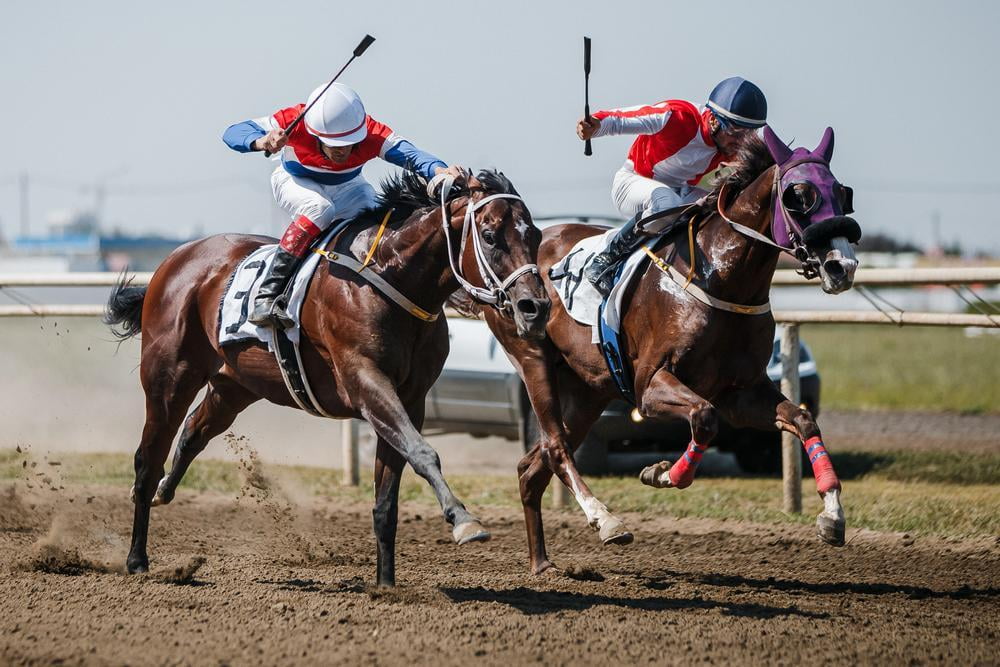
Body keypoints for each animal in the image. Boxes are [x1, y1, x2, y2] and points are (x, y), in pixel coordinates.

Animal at [104, 171, 552, 584]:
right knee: (147, 458)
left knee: (194, 431)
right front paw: (463, 520)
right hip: (169, 379)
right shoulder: (366, 382)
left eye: (535, 235)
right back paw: (137, 557)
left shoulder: (411, 399)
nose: (535, 307)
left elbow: (388, 495)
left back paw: (165, 490)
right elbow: (424, 453)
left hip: (235, 385)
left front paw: (386, 584)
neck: (390, 279)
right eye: (490, 236)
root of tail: (173, 261)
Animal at [460, 126, 860, 576]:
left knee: (531, 468)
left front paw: (832, 516)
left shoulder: (742, 394)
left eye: (842, 193)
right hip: (533, 360)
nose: (841, 266)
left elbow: (804, 420)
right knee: (553, 446)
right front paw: (663, 473)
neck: (720, 280)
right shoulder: (651, 386)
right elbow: (704, 417)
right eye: (801, 195)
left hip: (587, 393)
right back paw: (606, 522)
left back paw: (542, 563)